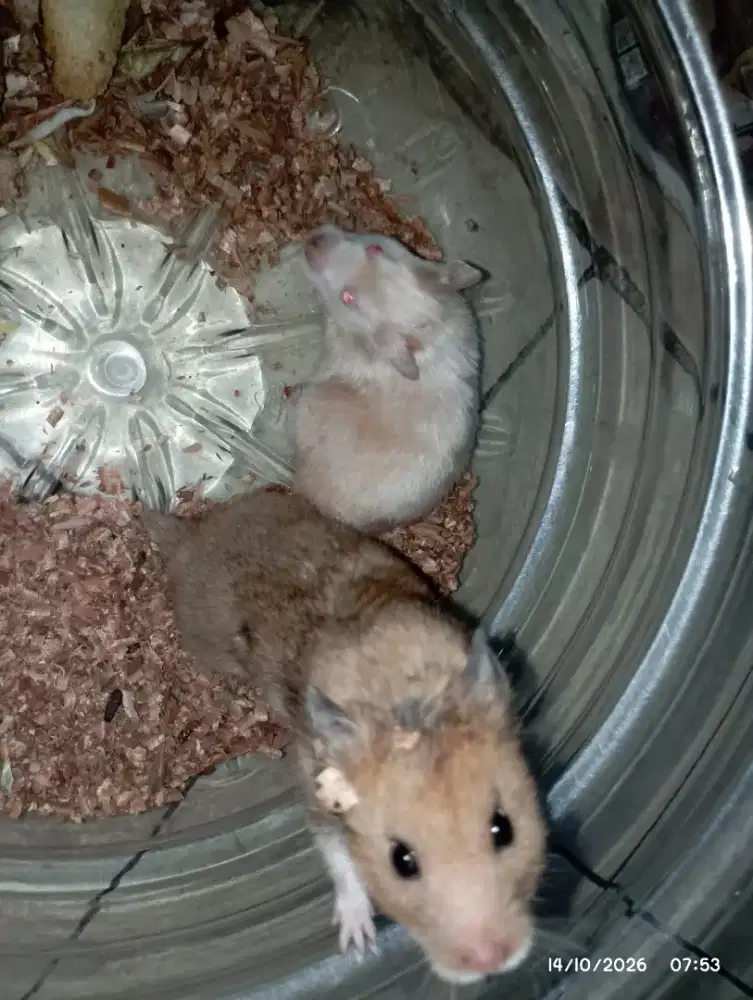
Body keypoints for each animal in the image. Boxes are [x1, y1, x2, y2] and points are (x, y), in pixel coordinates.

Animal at [144, 489, 545, 985]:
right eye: (402, 861)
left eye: (503, 828)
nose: (491, 962)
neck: (404, 707)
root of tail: (196, 532)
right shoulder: (316, 790)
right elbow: (338, 857)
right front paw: (358, 947)